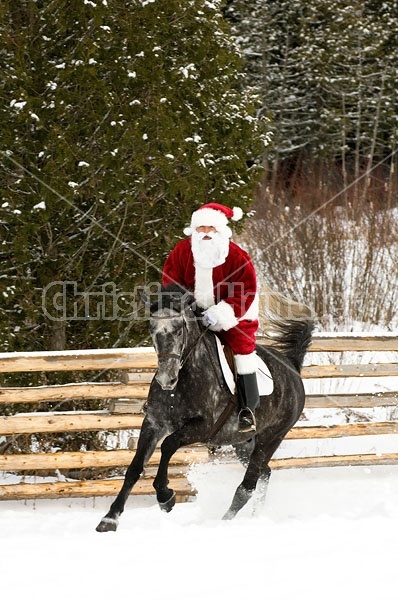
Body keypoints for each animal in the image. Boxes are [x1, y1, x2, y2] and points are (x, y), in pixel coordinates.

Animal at [97, 284, 314, 532]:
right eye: (151, 329)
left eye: (178, 329)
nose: (166, 379)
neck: (181, 382)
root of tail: (292, 366)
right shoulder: (153, 423)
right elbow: (134, 468)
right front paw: (110, 518)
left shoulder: (202, 427)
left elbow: (168, 445)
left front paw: (165, 496)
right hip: (242, 443)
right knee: (264, 474)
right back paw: (255, 517)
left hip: (271, 438)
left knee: (247, 486)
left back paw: (224, 522)